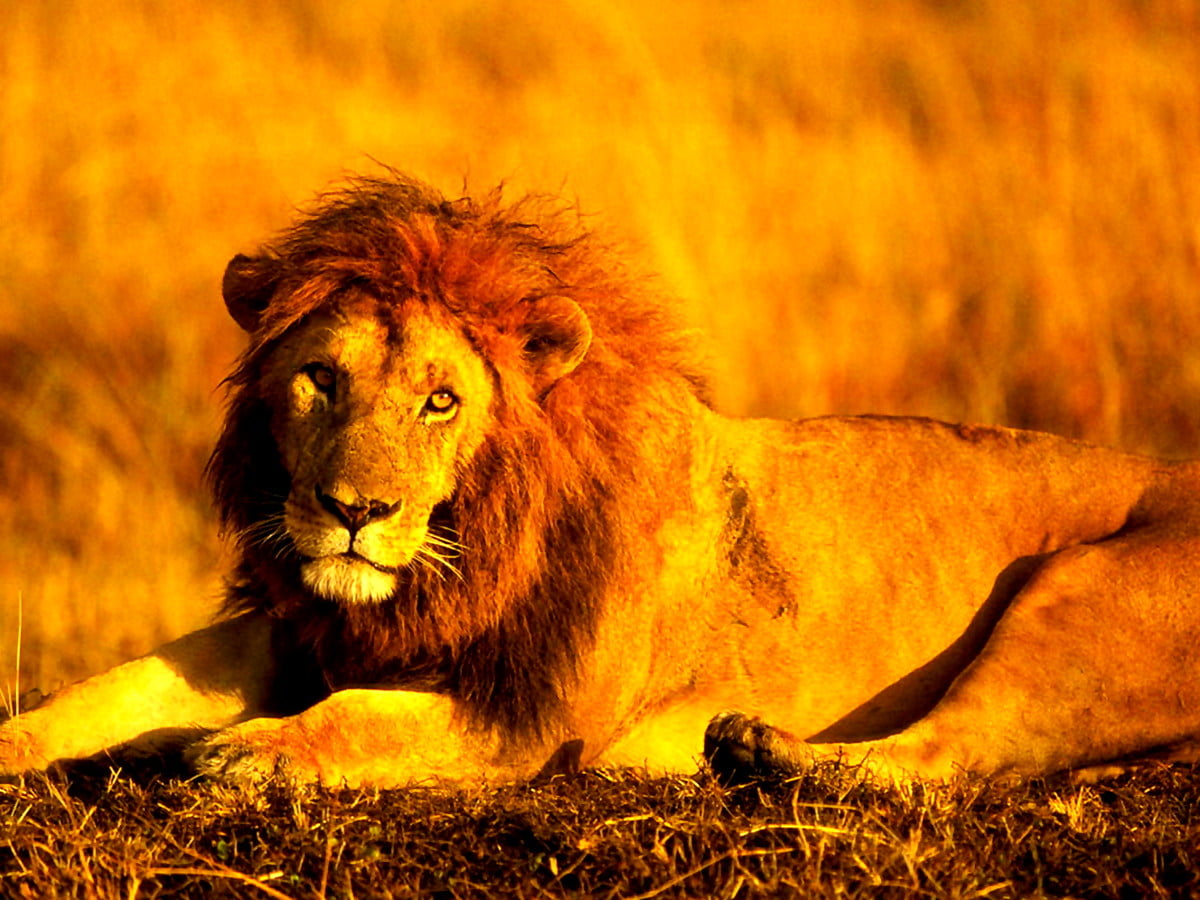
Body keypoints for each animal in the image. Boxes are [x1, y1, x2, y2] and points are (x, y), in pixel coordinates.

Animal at [3, 172, 1200, 788]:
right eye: (319, 380)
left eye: (441, 401)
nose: (353, 515)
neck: (462, 549)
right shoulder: (302, 628)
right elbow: (110, 688)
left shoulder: (529, 720)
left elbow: (355, 719)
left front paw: (243, 751)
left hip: (1069, 600)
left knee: (953, 754)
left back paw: (768, 756)